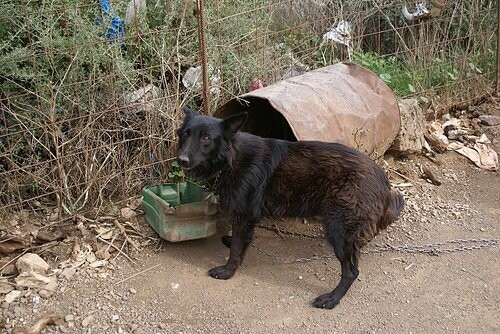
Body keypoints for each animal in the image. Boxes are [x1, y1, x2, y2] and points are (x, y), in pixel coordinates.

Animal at [178, 106, 404, 308]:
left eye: (206, 138)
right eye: (185, 135)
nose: (181, 160)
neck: (229, 159)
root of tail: (383, 182)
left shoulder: (243, 216)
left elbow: (235, 250)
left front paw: (227, 271)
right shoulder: (248, 218)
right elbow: (241, 243)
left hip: (338, 230)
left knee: (351, 272)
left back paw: (331, 299)